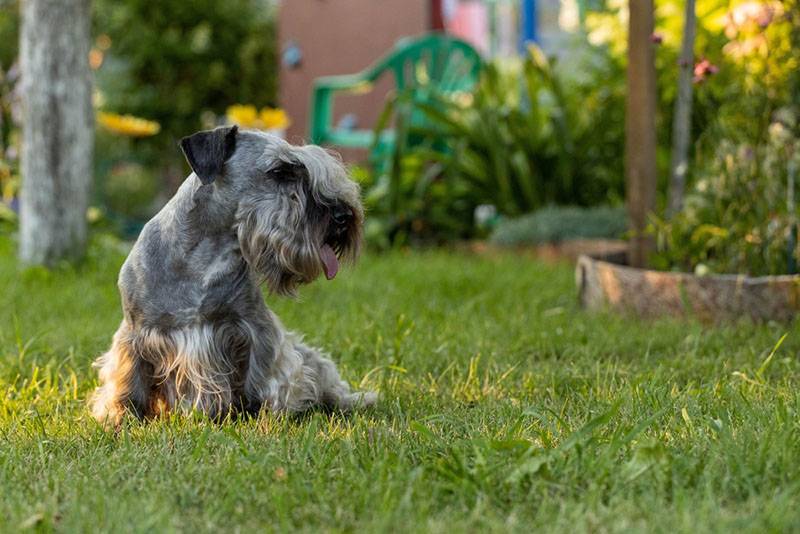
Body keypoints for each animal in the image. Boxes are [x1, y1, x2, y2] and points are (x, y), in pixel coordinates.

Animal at [89, 126, 376, 428]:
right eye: (279, 171)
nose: (343, 216)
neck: (203, 258)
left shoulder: (255, 328)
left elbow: (264, 377)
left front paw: (265, 415)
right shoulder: (136, 333)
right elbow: (128, 380)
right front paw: (121, 417)